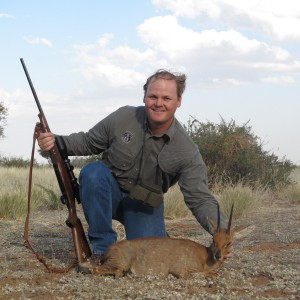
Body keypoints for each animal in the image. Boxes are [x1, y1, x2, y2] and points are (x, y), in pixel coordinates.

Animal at [86, 205, 234, 278]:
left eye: (229, 242)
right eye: (214, 240)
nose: (218, 256)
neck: (204, 256)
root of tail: (108, 251)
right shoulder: (180, 271)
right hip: (118, 263)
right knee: (94, 269)